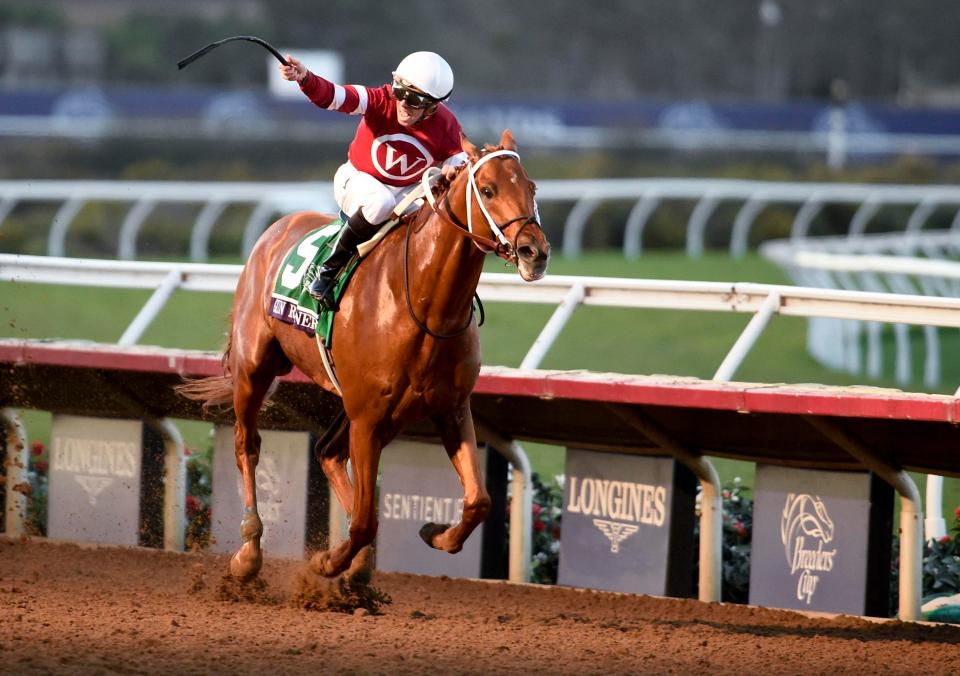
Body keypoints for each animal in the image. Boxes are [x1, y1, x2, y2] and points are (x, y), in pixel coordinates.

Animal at [173, 131, 548, 580]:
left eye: (531, 188)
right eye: (488, 190)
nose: (534, 252)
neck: (425, 306)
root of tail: (277, 227)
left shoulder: (449, 408)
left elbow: (478, 501)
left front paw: (434, 533)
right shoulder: (368, 419)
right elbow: (366, 521)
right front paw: (327, 561)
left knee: (326, 452)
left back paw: (359, 566)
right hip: (254, 369)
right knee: (248, 444)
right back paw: (250, 550)